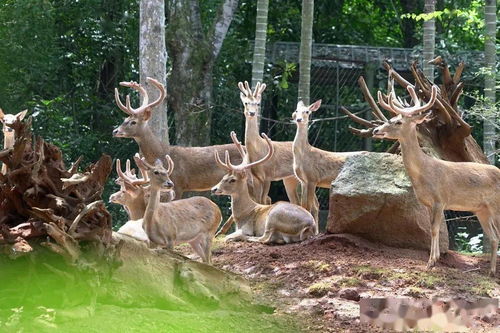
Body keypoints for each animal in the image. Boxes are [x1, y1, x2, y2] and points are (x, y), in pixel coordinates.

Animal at [372, 84, 500, 274]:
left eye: (398, 122)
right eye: (391, 117)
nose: (375, 131)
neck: (425, 172)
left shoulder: (440, 199)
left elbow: (433, 229)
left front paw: (431, 262)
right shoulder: (427, 203)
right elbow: (434, 229)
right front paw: (434, 259)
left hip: (495, 205)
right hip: (481, 210)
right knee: (493, 237)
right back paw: (490, 271)